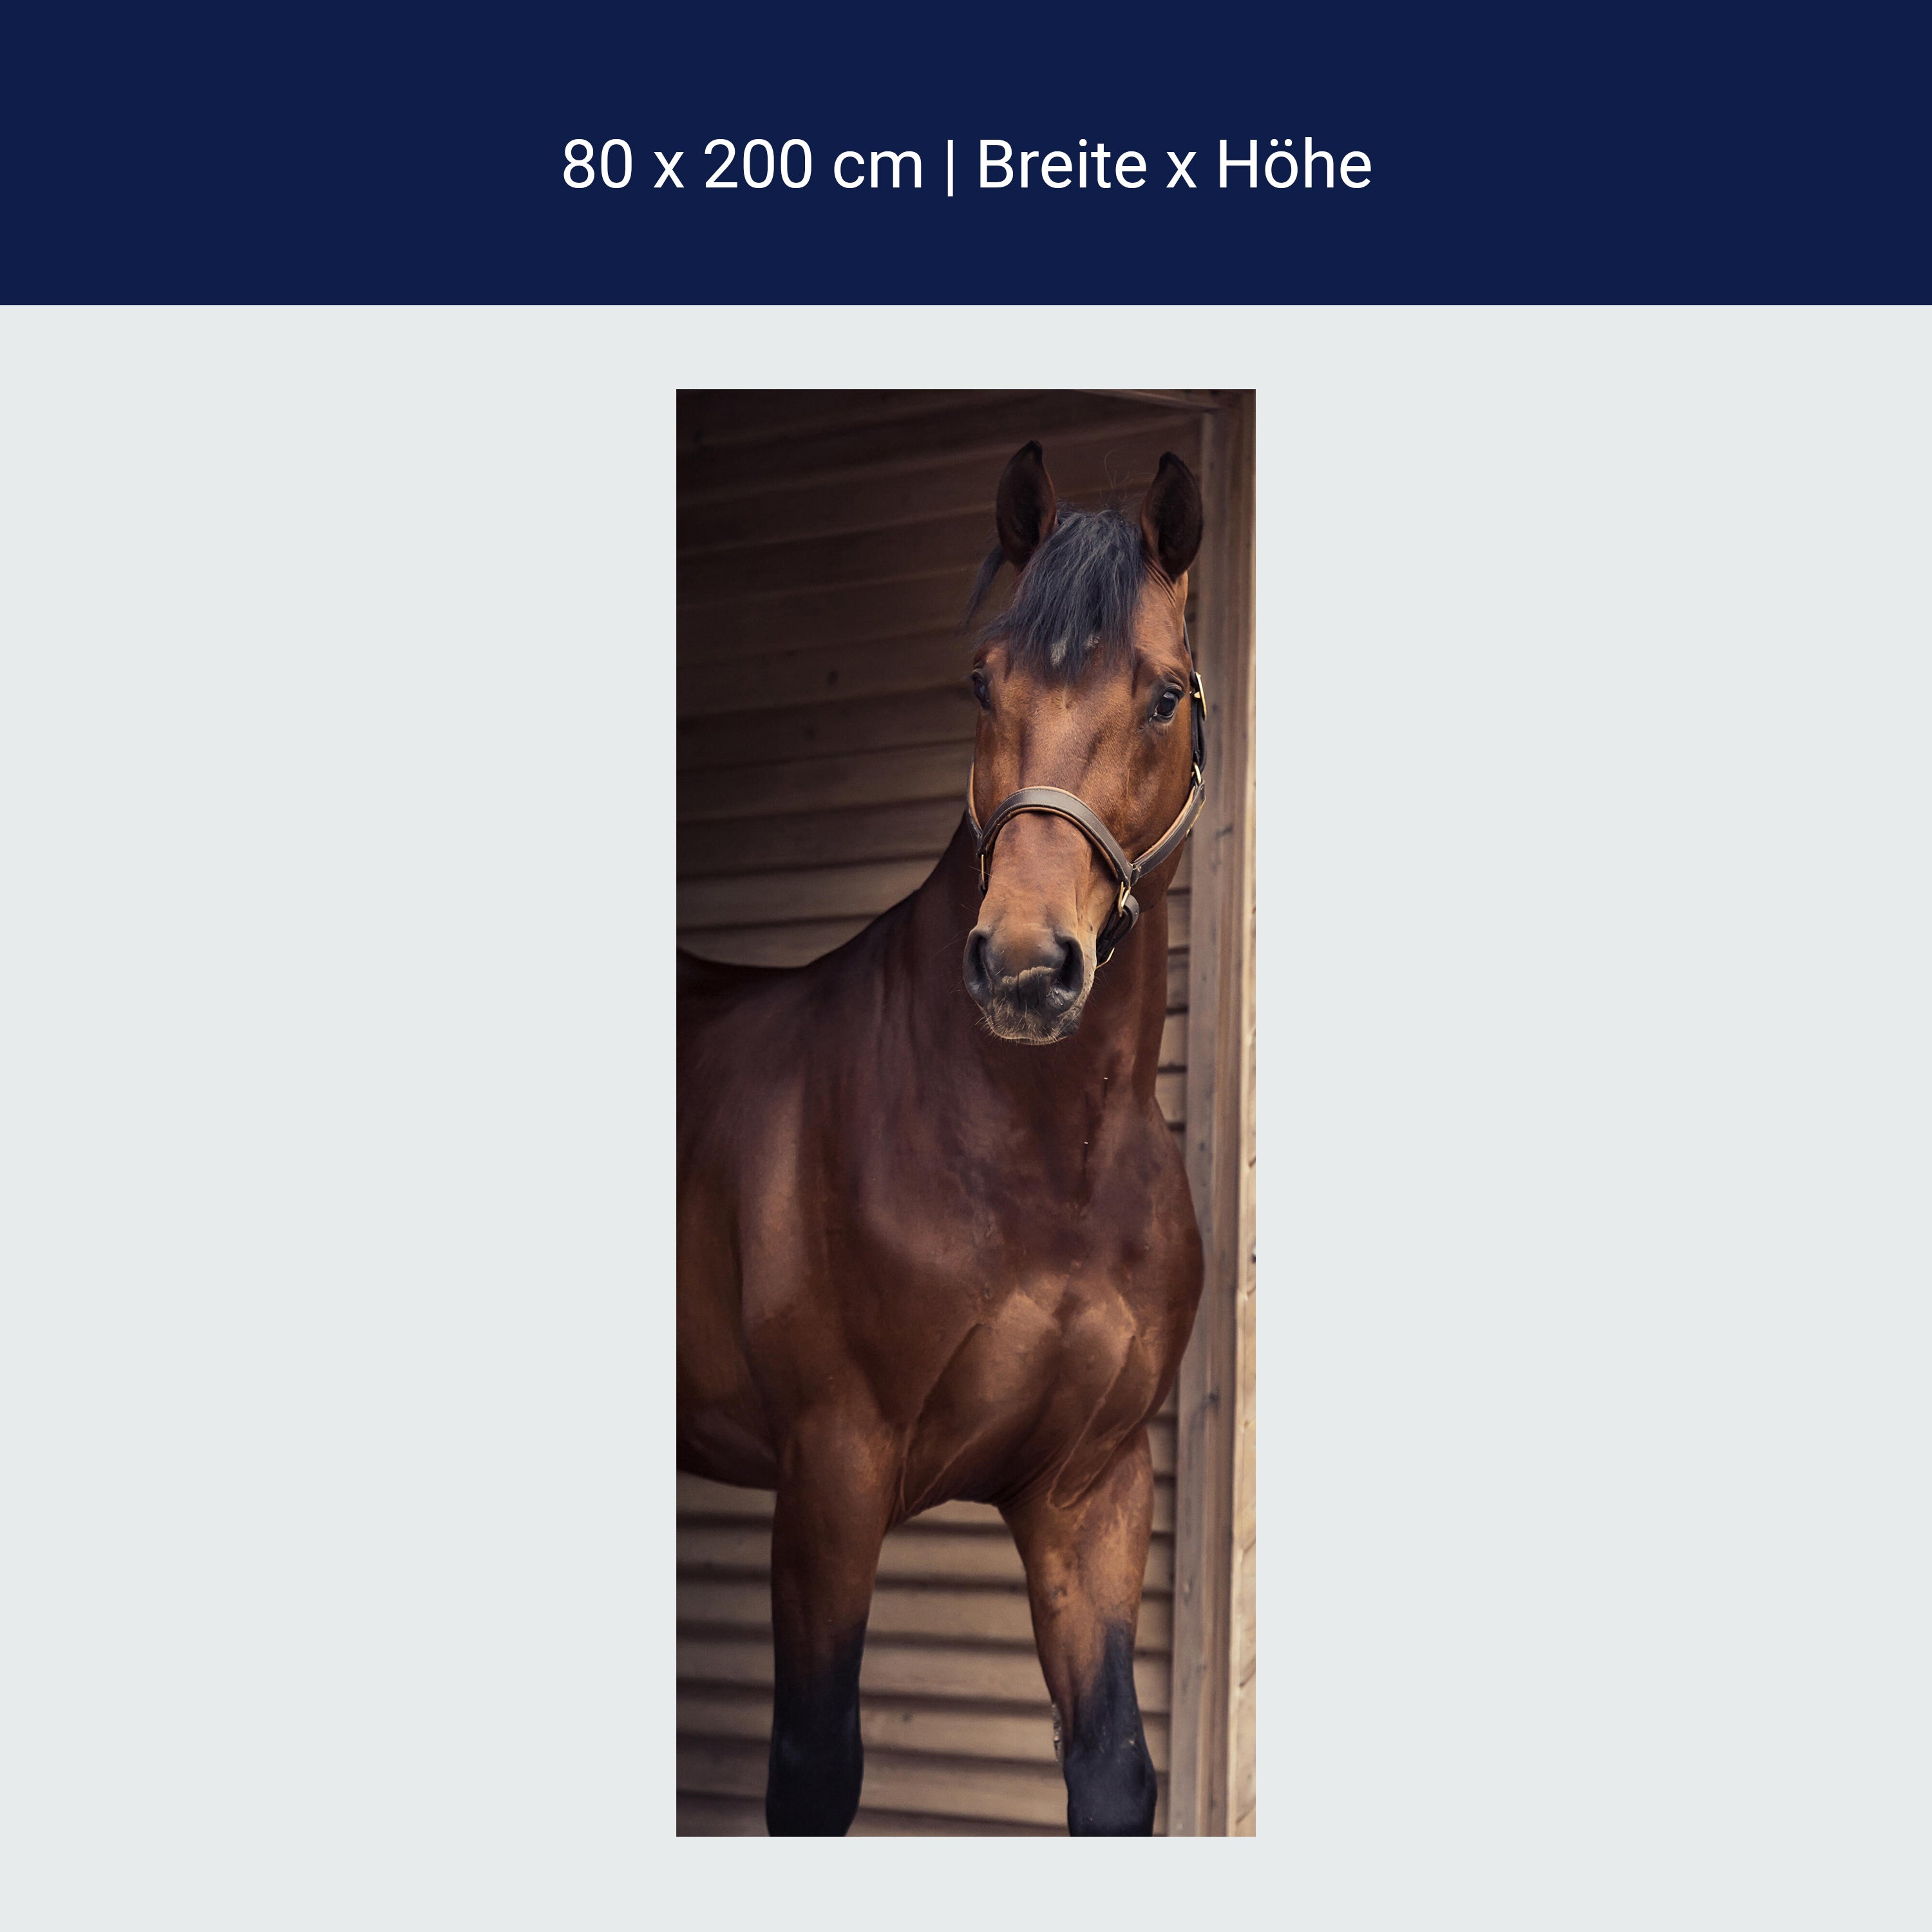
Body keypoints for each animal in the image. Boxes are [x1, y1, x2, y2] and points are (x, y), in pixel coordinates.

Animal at [677, 440, 1208, 1836]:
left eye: (1165, 694)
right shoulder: (833, 1473)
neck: (1040, 1161)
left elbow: (1112, 1772)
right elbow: (814, 1772)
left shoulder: (1090, 1492)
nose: (1024, 969)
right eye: (983, 680)